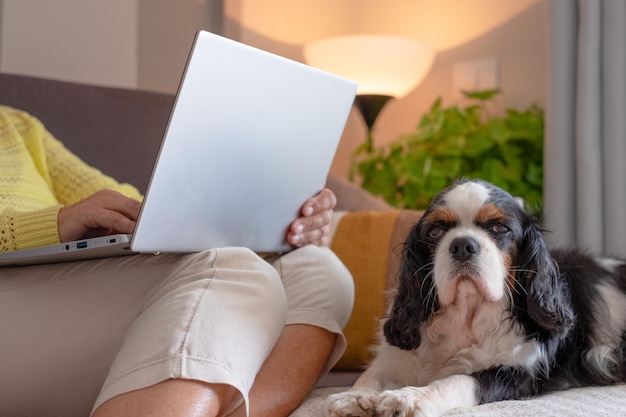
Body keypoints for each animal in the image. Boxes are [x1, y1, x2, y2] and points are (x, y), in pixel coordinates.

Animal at [324, 179, 624, 416]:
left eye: (500, 228)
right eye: (435, 231)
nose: (462, 245)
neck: (465, 318)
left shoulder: (519, 372)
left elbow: (460, 379)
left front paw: (409, 397)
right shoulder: (395, 358)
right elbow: (372, 375)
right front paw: (354, 397)